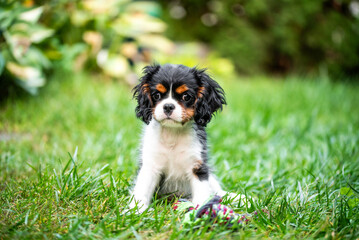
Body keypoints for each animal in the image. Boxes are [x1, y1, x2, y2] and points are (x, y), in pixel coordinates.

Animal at [131, 63, 229, 212]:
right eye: (157, 95)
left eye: (186, 97)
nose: (168, 106)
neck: (172, 132)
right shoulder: (150, 165)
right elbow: (142, 189)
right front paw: (136, 211)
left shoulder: (197, 167)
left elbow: (202, 193)